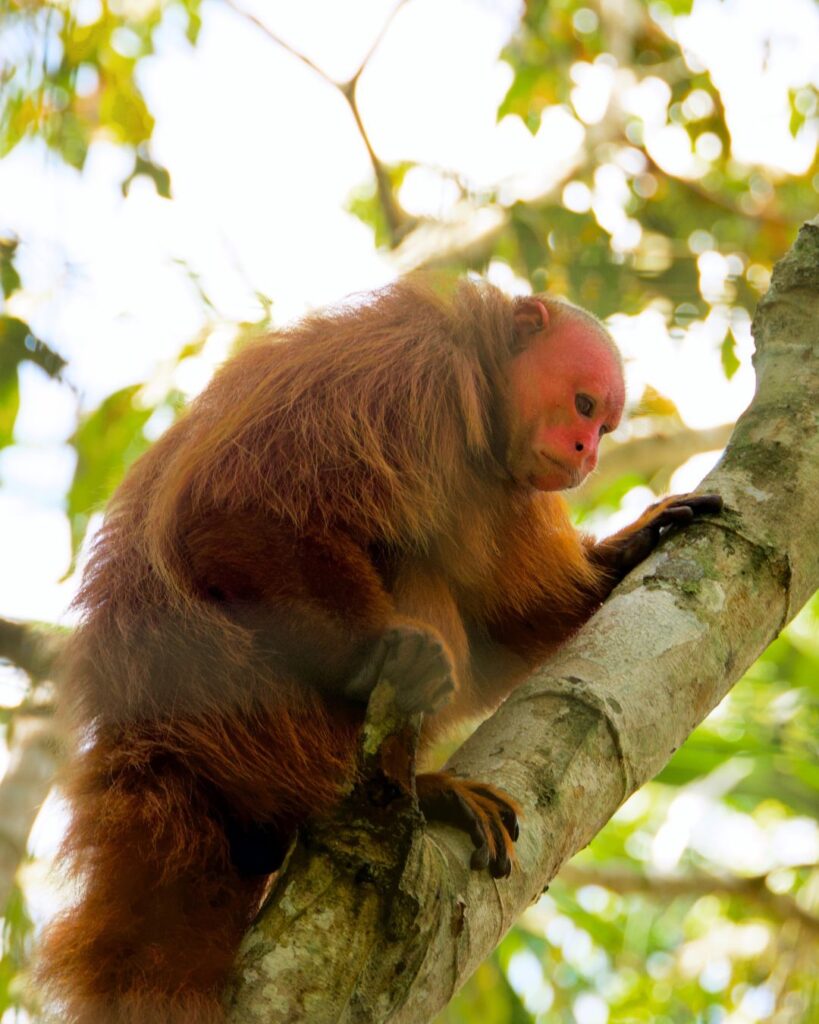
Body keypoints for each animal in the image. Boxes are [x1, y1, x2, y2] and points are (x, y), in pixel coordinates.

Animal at [36, 276, 721, 1024]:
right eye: (583, 406)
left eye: (603, 427)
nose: (585, 453)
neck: (478, 404)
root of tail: (144, 732)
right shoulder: (400, 374)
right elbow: (227, 510)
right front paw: (379, 654)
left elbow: (509, 623)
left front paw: (632, 544)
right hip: (259, 712)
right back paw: (404, 785)